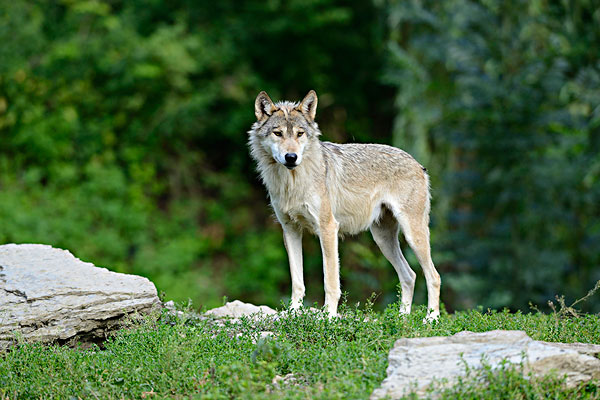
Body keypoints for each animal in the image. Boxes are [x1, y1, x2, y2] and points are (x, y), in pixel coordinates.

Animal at [247, 90, 440, 322]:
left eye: (300, 134)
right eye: (278, 133)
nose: (291, 157)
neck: (292, 182)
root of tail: (418, 164)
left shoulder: (328, 228)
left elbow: (330, 280)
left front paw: (329, 315)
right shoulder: (290, 230)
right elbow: (297, 280)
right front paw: (293, 312)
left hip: (413, 236)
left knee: (434, 276)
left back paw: (432, 319)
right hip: (383, 240)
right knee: (409, 275)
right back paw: (401, 318)